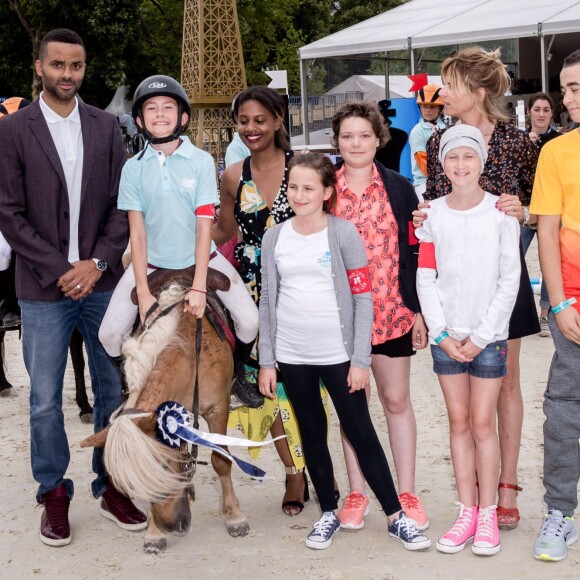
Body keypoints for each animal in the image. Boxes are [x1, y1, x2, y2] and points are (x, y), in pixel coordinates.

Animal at [79, 286, 247, 552]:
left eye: (166, 466)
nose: (172, 526)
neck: (191, 354)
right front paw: (154, 533)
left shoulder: (218, 409)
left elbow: (221, 461)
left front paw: (235, 516)